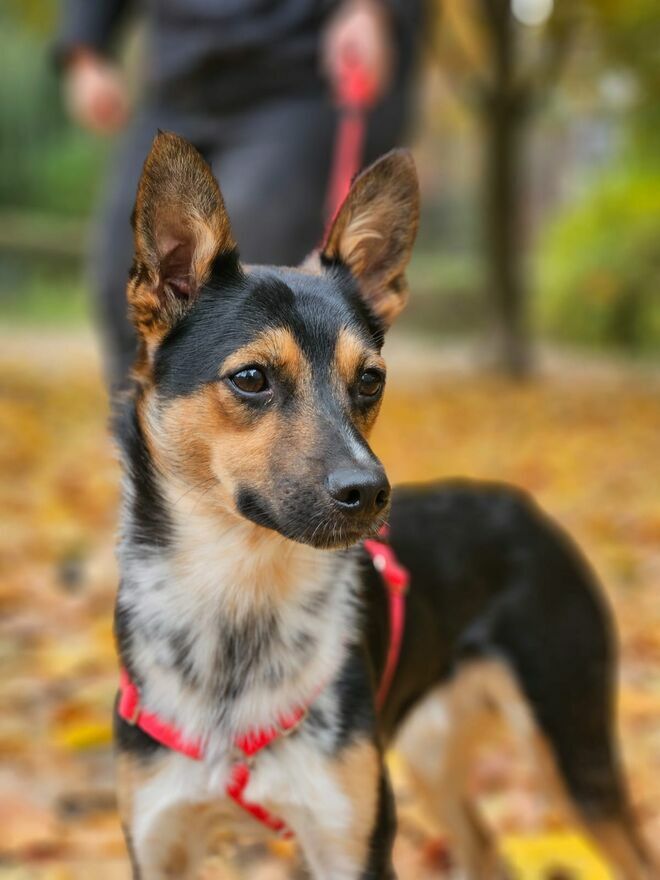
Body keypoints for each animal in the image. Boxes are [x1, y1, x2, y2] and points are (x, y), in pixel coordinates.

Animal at [112, 132, 651, 879]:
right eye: (250, 378)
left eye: (370, 380)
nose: (369, 492)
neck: (239, 603)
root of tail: (521, 506)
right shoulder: (159, 842)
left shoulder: (353, 842)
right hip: (432, 748)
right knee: (484, 848)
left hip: (570, 741)